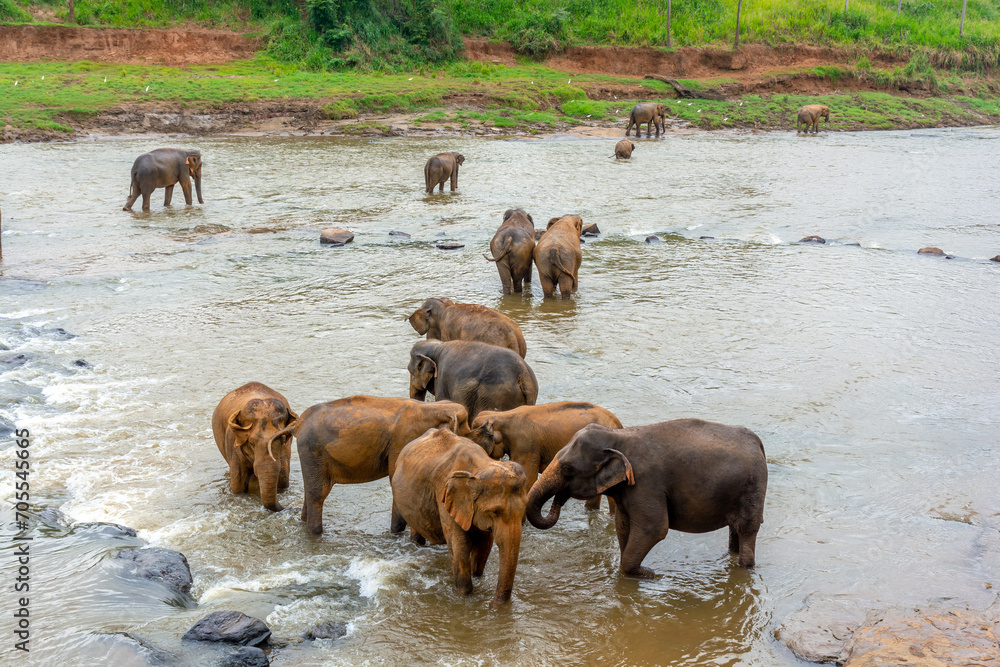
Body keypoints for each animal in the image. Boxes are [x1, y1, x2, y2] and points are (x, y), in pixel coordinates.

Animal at [266, 395, 470, 535]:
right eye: (469, 432)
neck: (433, 407)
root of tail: (297, 424)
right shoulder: (403, 439)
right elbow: (396, 479)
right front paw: (396, 533)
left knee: (312, 492)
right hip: (312, 451)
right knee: (318, 494)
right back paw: (316, 534)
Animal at [392, 427, 528, 605]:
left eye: (525, 509)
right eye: (495, 512)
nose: (490, 604)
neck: (480, 466)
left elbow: (484, 544)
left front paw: (478, 577)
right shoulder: (444, 495)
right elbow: (459, 545)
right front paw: (464, 594)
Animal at [526, 418, 768, 577]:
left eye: (568, 469)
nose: (558, 499)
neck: (620, 437)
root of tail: (758, 442)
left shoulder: (647, 483)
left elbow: (654, 527)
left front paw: (648, 573)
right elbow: (623, 525)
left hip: (753, 488)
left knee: (746, 529)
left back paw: (745, 567)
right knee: (735, 530)